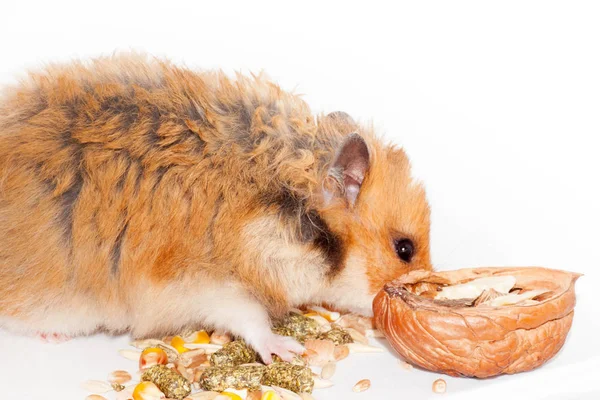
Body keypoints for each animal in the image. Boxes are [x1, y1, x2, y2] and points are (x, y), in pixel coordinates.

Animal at [0, 54, 432, 362]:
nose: (428, 288)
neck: (293, 205)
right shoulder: (209, 282)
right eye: (404, 248)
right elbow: (250, 318)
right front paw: (287, 351)